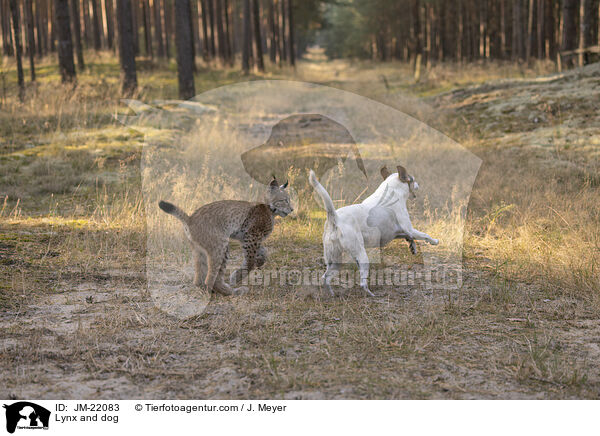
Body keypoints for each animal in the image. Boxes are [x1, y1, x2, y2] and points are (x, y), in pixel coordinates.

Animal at [310, 164, 440, 296]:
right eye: (412, 179)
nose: (418, 184)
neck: (393, 191)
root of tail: (335, 218)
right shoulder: (409, 228)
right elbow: (425, 235)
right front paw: (434, 241)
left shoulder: (396, 233)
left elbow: (409, 237)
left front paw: (412, 247)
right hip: (361, 256)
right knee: (362, 283)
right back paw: (371, 294)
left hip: (334, 260)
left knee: (325, 278)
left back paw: (331, 294)